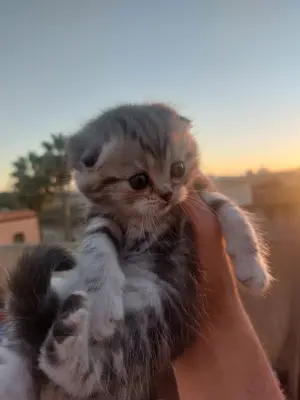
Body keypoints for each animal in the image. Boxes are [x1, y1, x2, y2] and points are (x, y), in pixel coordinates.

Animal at [0, 103, 270, 400]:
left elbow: (233, 212)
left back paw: (66, 333)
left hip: (155, 325)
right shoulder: (102, 216)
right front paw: (103, 304)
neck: (146, 217)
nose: (167, 194)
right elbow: (97, 246)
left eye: (178, 168)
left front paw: (253, 268)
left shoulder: (195, 195)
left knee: (87, 372)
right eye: (138, 181)